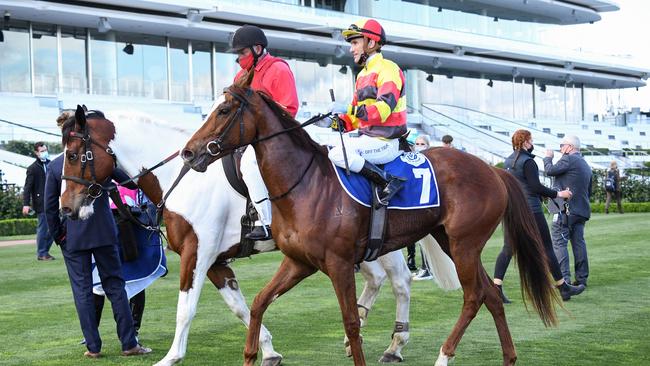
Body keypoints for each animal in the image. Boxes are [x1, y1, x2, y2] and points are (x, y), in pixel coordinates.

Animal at [58, 105, 458, 364]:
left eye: (75, 155)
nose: (67, 208)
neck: (185, 177)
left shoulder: (197, 253)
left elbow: (186, 308)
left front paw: (172, 357)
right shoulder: (216, 261)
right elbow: (240, 307)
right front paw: (267, 349)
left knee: (400, 282)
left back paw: (393, 344)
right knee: (378, 280)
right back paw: (361, 332)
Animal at [180, 75, 560, 366]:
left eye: (224, 110)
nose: (189, 152)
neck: (306, 184)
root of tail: (495, 172)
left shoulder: (338, 264)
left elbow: (351, 323)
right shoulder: (300, 262)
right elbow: (259, 302)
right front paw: (253, 354)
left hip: (465, 244)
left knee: (473, 296)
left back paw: (443, 355)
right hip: (451, 241)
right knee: (490, 296)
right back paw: (508, 357)